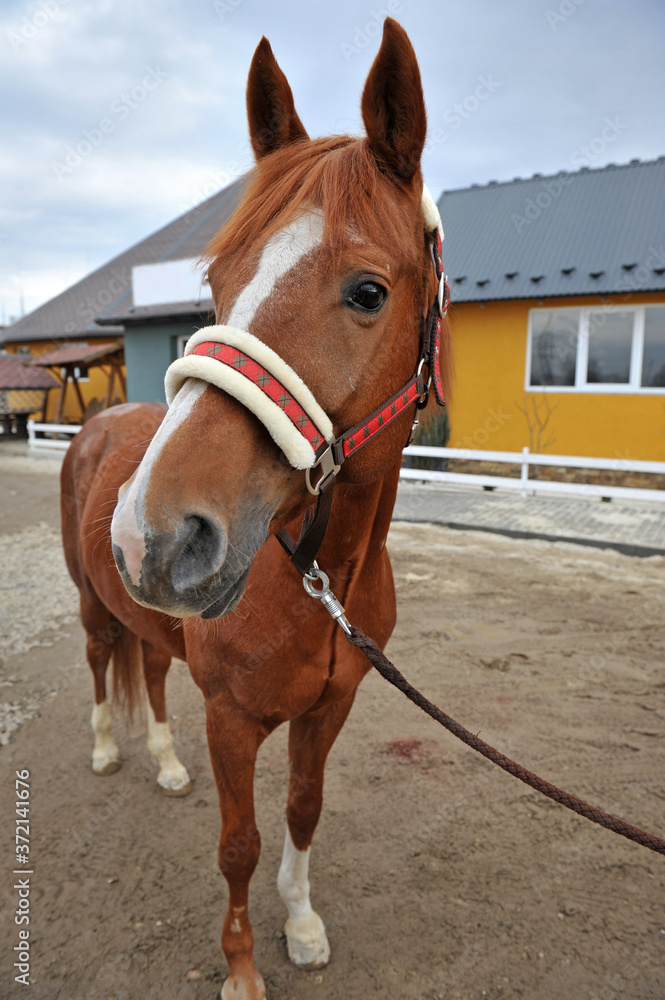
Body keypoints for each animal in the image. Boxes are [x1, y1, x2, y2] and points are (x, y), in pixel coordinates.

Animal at [61, 18, 450, 999]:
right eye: (217, 281)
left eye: (366, 291)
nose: (153, 536)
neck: (318, 576)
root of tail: (99, 422)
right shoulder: (232, 720)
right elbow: (237, 843)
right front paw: (240, 967)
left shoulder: (328, 709)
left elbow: (303, 810)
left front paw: (302, 923)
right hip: (90, 603)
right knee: (101, 662)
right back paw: (107, 749)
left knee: (149, 670)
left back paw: (164, 763)